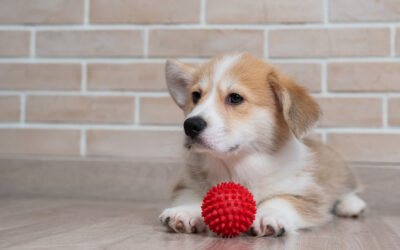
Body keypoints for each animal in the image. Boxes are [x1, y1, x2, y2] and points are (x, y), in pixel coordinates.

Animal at [159, 52, 366, 236]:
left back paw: (351, 205)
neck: (237, 166)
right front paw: (184, 211)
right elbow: (193, 196)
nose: (190, 125)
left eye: (235, 98)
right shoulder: (187, 184)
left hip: (340, 171)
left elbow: (282, 199)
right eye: (195, 95)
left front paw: (268, 215)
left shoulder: (307, 193)